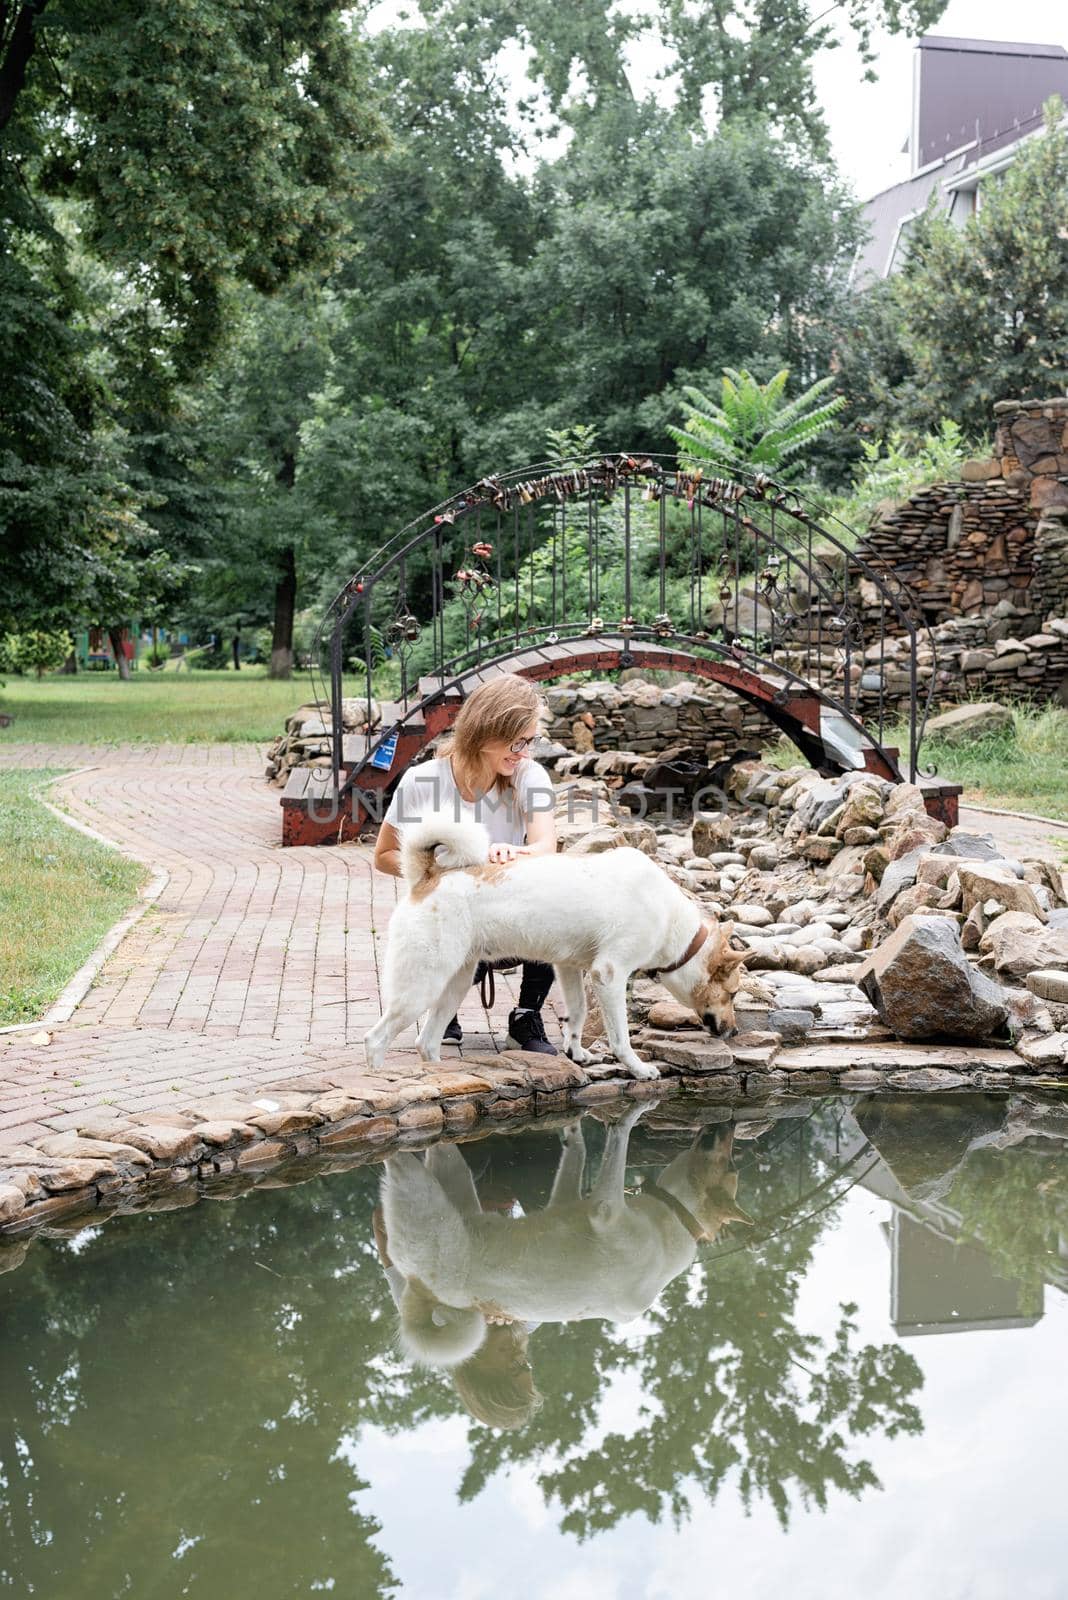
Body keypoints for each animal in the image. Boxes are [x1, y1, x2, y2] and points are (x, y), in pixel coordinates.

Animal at [362, 819, 748, 1081]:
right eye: (732, 993)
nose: (734, 1033)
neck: (671, 923)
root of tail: (429, 877)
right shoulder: (609, 975)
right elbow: (620, 1037)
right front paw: (637, 1068)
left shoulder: (569, 968)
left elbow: (576, 1014)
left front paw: (576, 1052)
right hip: (421, 988)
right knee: (375, 1040)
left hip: (454, 985)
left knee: (426, 1042)